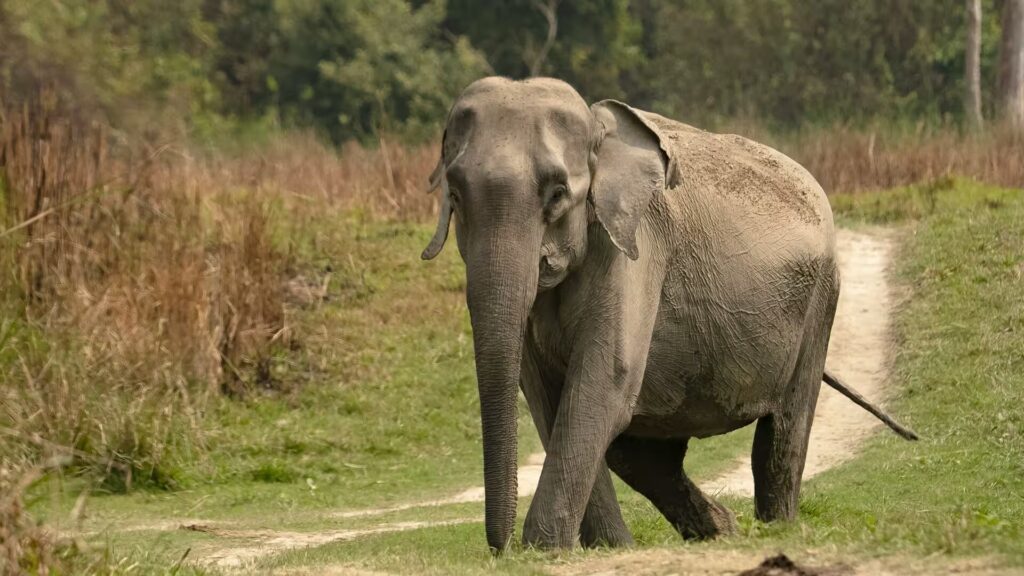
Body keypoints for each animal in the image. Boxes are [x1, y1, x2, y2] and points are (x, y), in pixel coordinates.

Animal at [420, 77, 917, 552]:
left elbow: (604, 380)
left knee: (782, 432)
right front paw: (608, 548)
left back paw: (774, 529)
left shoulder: (636, 245)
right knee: (640, 453)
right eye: (455, 196)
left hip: (820, 300)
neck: (598, 132)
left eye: (558, 194)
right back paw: (721, 530)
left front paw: (547, 549)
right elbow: (547, 394)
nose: (499, 549)